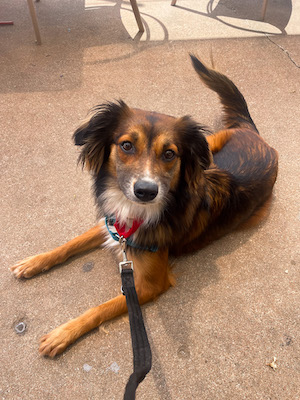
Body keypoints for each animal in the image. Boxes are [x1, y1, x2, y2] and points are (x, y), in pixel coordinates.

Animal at [9, 55, 278, 356]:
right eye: (126, 145)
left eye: (170, 154)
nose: (146, 191)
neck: (134, 210)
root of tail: (255, 134)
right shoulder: (111, 224)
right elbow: (69, 245)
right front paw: (34, 262)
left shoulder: (150, 285)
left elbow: (101, 308)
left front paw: (63, 333)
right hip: (210, 146)